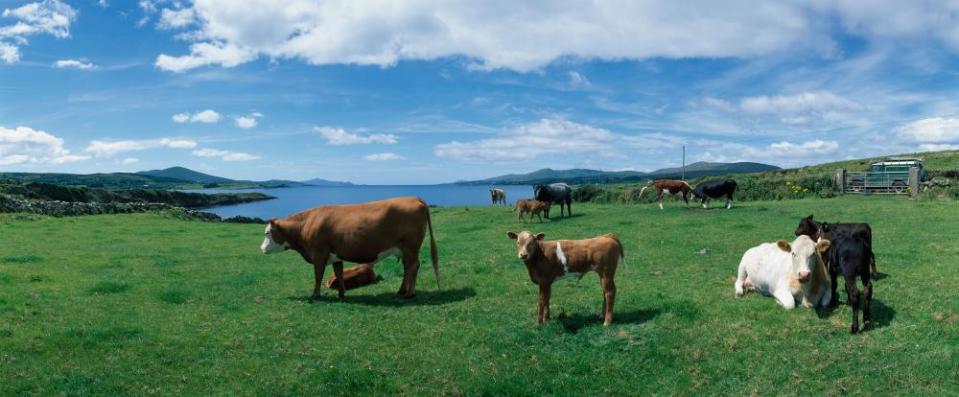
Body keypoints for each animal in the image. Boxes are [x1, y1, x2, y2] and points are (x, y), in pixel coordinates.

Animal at [262, 196, 442, 298]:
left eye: (267, 232)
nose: (261, 249)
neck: (306, 225)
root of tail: (413, 198)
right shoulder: (335, 255)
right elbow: (339, 273)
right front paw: (342, 294)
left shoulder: (319, 254)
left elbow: (318, 276)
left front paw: (315, 295)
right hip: (404, 249)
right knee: (408, 268)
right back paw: (401, 291)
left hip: (411, 246)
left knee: (413, 266)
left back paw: (410, 293)